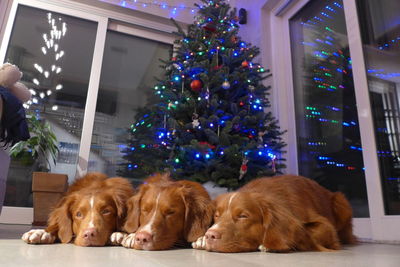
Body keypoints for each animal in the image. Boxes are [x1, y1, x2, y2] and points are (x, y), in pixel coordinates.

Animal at [192, 175, 354, 254]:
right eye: (216, 216)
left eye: (243, 216)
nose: (210, 235)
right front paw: (201, 239)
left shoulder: (326, 227)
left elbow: (306, 231)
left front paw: (274, 244)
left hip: (341, 201)